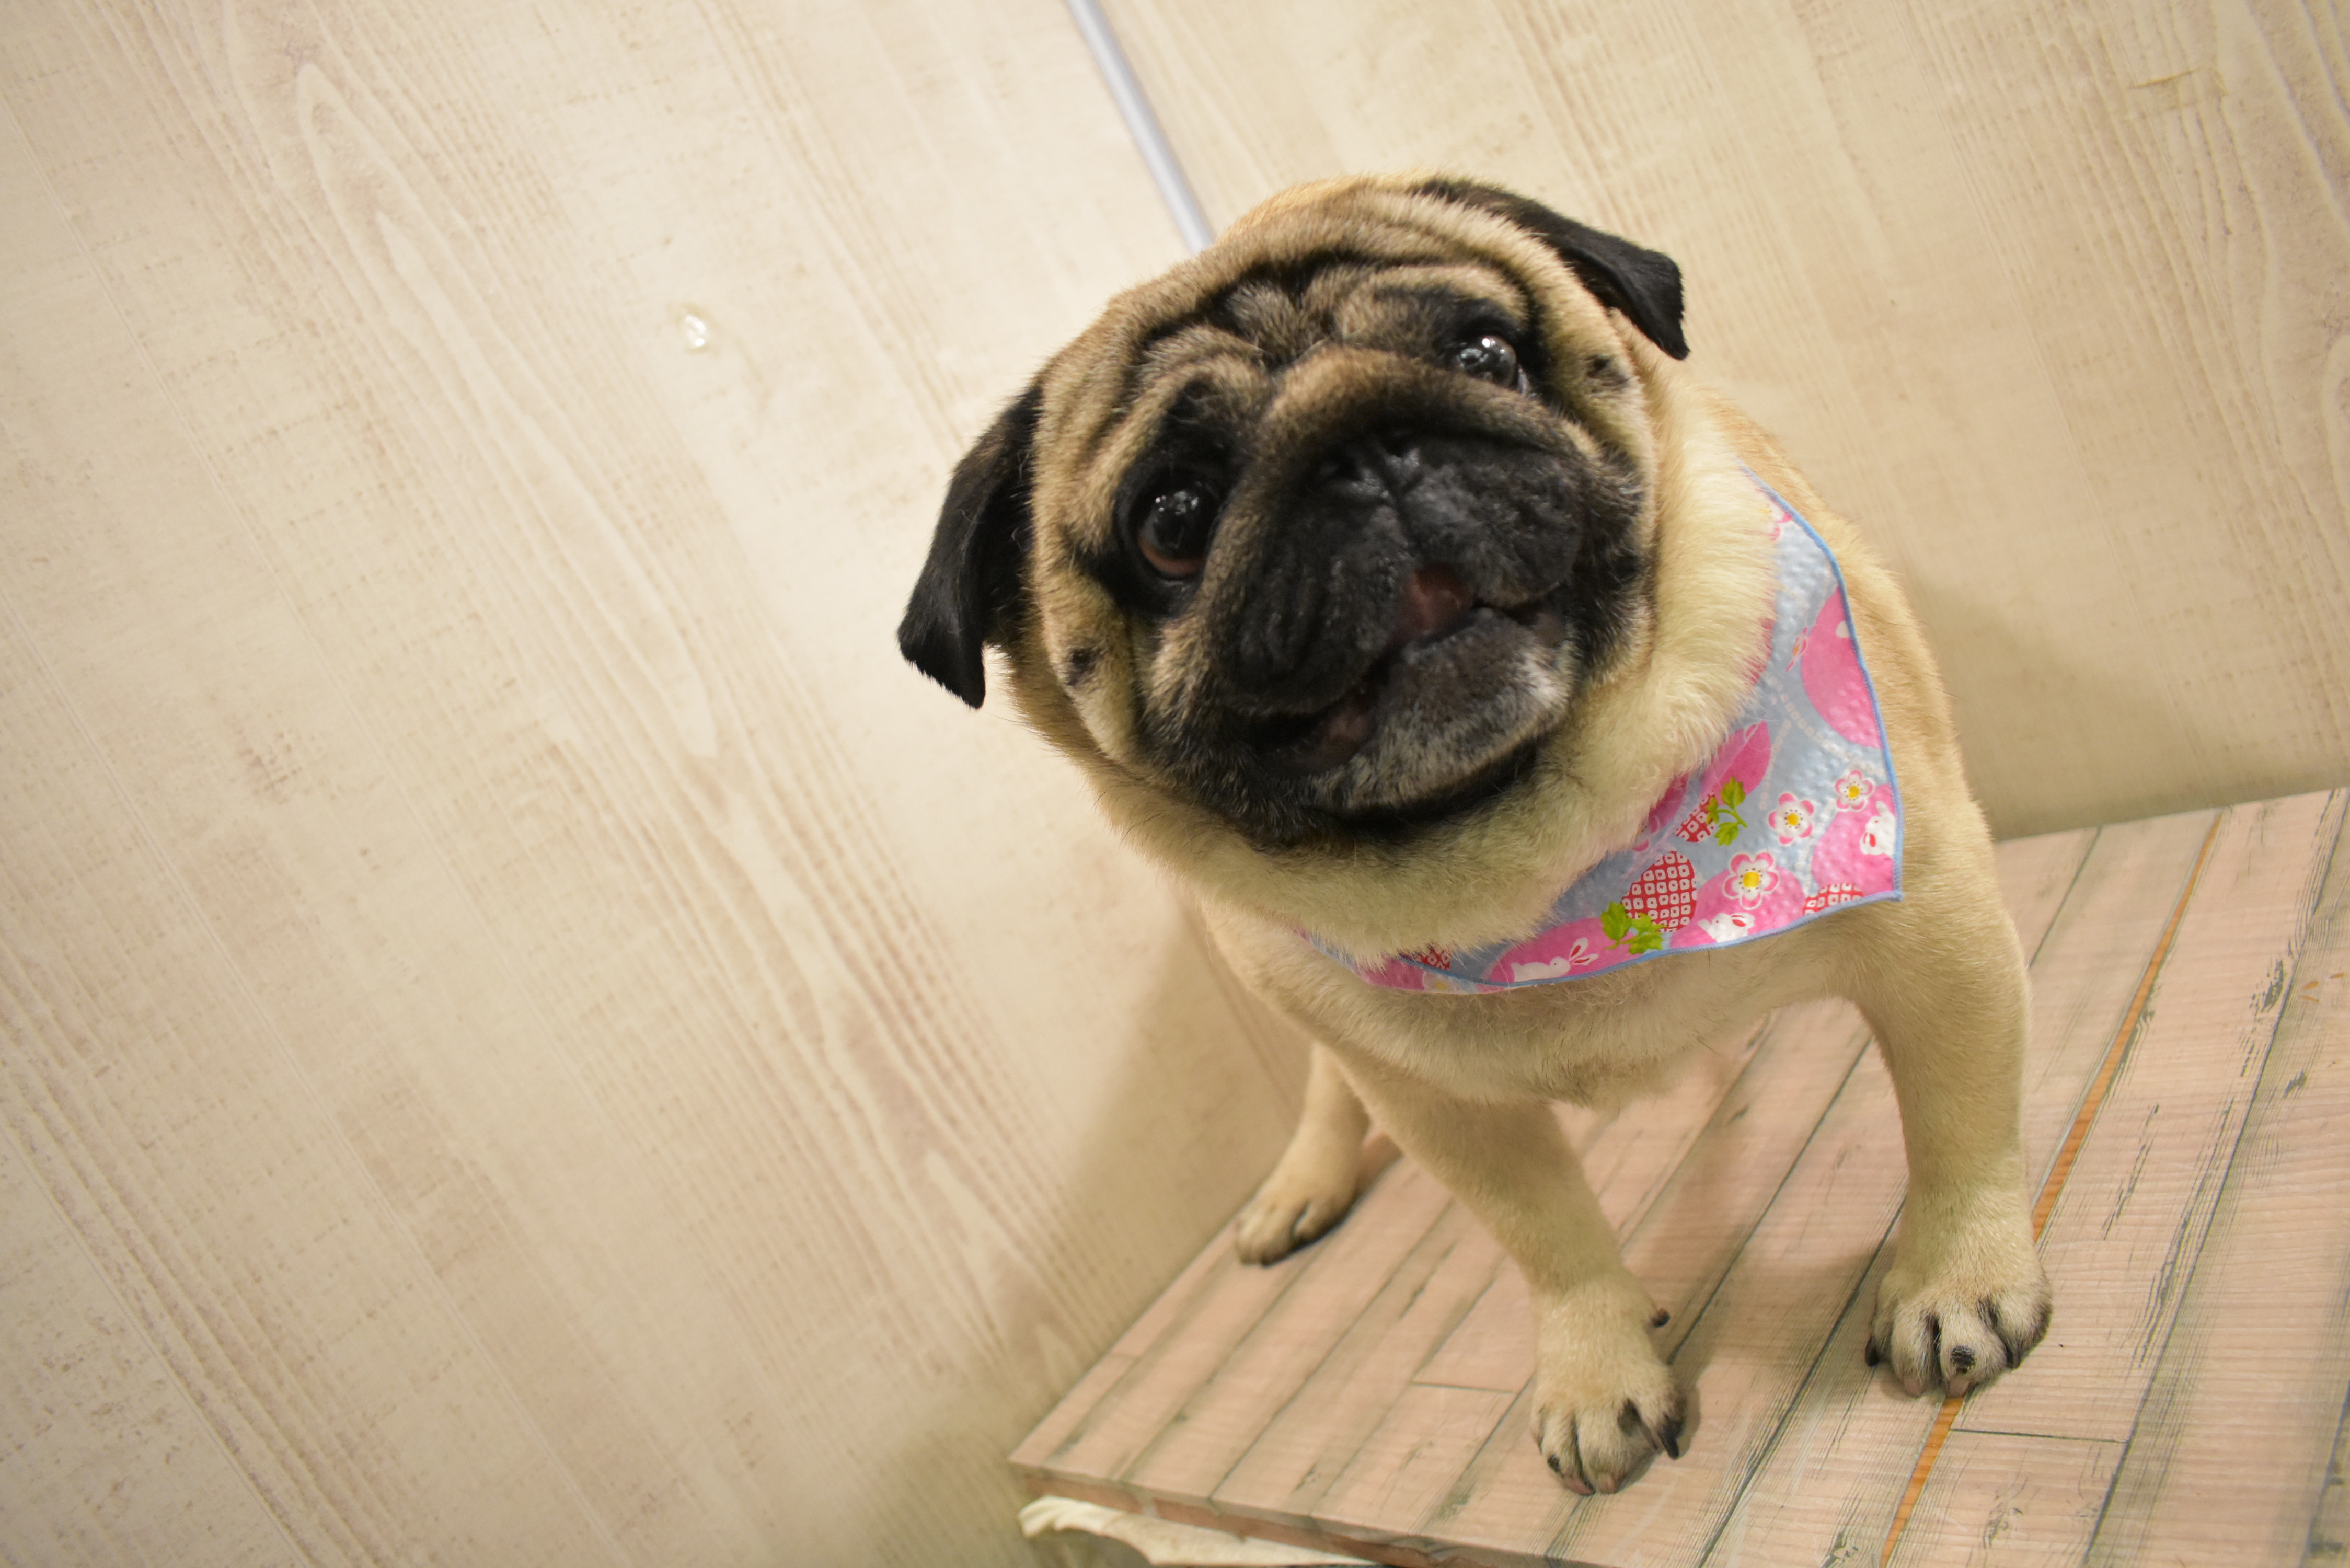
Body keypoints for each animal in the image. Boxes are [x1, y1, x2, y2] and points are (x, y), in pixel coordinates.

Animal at [899, 175, 2050, 1495]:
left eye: (1485, 354)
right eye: (1172, 519)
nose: (1362, 448)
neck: (1542, 860)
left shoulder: (1933, 927)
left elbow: (1957, 1121)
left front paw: (1957, 1278)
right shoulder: (1434, 1101)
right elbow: (1548, 1241)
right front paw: (1596, 1370)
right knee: (1328, 1083)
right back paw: (1302, 1182)